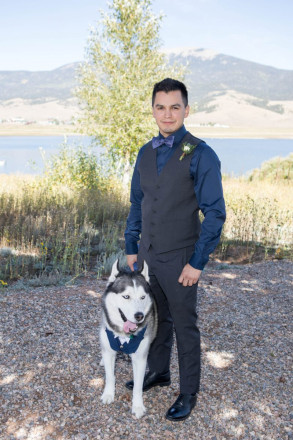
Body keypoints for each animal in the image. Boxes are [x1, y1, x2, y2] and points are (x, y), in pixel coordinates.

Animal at [98, 260, 157, 418]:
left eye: (142, 297)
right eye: (126, 297)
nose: (139, 316)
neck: (123, 336)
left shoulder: (140, 358)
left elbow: (138, 385)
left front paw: (137, 406)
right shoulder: (109, 352)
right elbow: (110, 376)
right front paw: (108, 394)